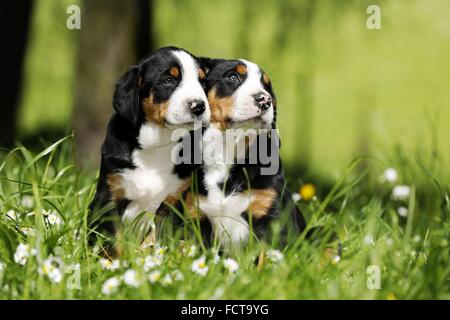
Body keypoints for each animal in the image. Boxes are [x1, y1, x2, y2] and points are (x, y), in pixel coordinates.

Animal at [90, 46, 212, 244]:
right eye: (168, 80)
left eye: (202, 82)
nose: (198, 106)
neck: (156, 145)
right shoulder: (110, 195)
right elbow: (111, 242)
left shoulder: (174, 200)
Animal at [179, 59, 306, 250]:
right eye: (233, 77)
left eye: (266, 86)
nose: (264, 99)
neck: (228, 148)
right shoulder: (196, 215)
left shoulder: (272, 215)